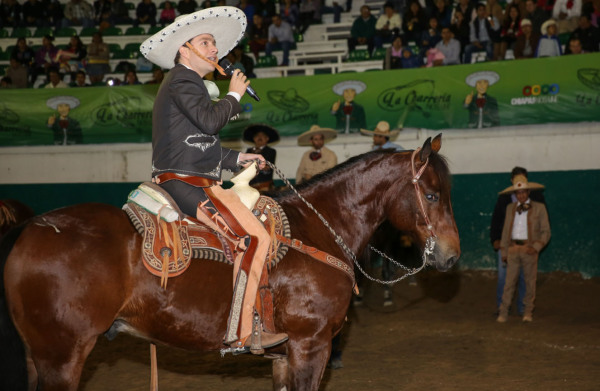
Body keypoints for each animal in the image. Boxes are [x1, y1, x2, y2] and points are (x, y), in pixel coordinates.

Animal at [0, 136, 462, 391]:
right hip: (62, 357)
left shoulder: (284, 356)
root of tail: (29, 226)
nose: (452, 254)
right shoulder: (311, 346)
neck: (317, 230)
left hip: (37, 357)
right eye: (433, 194)